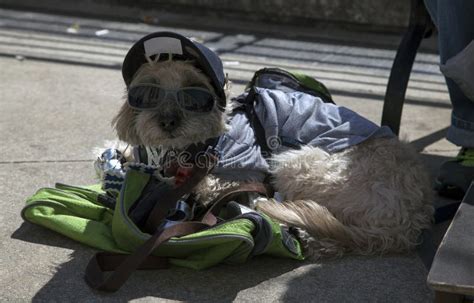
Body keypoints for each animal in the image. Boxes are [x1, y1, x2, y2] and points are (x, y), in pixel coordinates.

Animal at [110, 33, 434, 262]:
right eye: (148, 93)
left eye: (194, 93)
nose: (168, 122)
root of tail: (407, 222)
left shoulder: (244, 171)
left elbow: (208, 183)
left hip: (297, 163)